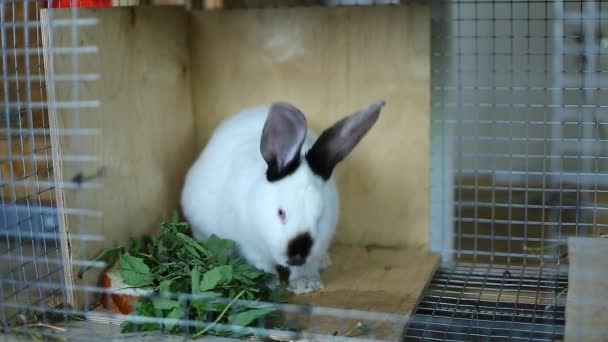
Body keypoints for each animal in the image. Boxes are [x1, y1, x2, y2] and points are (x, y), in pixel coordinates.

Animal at [178, 99, 384, 294]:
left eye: (320, 217)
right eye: (281, 213)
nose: (297, 255)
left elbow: (307, 266)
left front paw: (305, 284)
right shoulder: (251, 246)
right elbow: (262, 265)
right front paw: (270, 282)